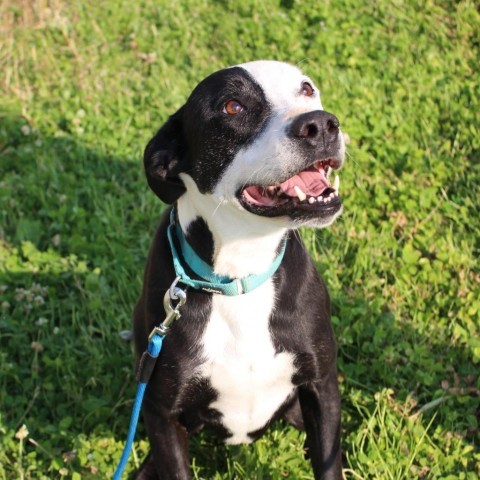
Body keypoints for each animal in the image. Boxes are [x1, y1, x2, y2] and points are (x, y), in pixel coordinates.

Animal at [132, 61, 344, 480]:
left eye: (307, 89)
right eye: (233, 106)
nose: (321, 125)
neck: (241, 277)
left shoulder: (321, 386)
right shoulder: (162, 413)